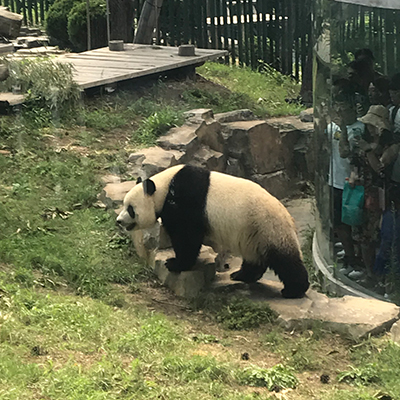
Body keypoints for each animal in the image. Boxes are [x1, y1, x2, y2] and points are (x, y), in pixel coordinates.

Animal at [115, 164, 310, 298]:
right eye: (124, 204)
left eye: (130, 209)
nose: (119, 221)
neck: (164, 188)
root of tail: (288, 217)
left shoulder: (187, 200)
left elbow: (187, 236)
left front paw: (175, 263)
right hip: (252, 234)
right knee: (255, 257)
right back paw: (241, 275)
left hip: (266, 226)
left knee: (284, 260)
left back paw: (294, 290)